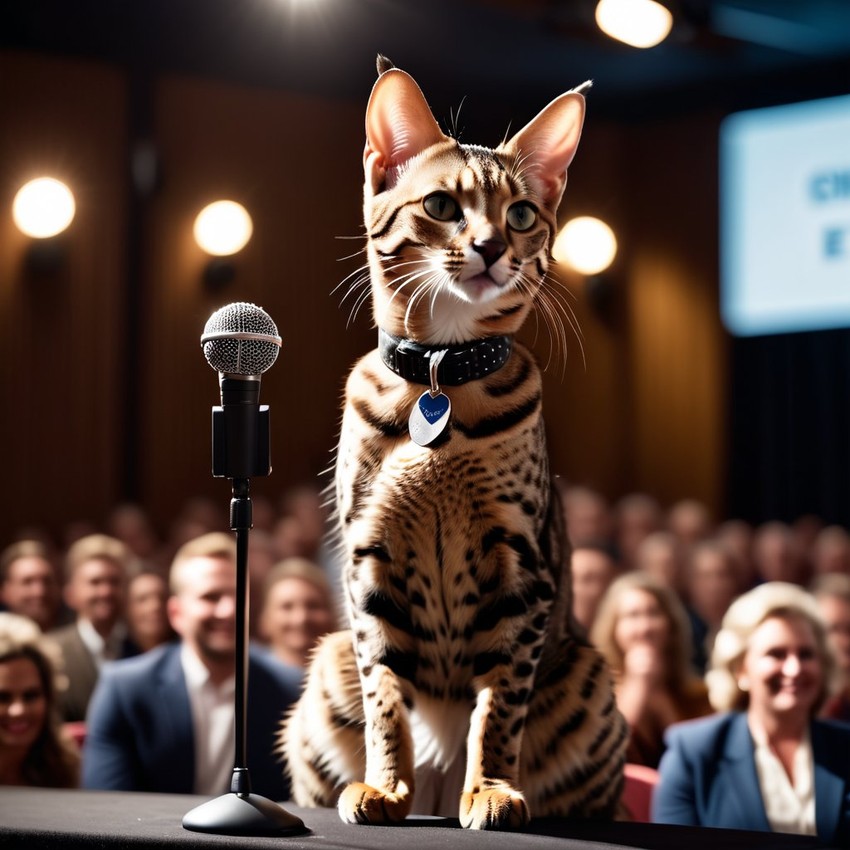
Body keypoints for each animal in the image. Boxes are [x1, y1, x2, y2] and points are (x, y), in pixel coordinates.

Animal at [282, 58, 628, 828]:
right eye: (441, 205)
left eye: (521, 215)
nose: (492, 248)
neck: (441, 374)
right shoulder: (368, 560)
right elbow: (385, 697)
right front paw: (385, 785)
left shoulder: (522, 566)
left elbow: (498, 705)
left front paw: (492, 788)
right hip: (326, 665)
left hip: (588, 676)